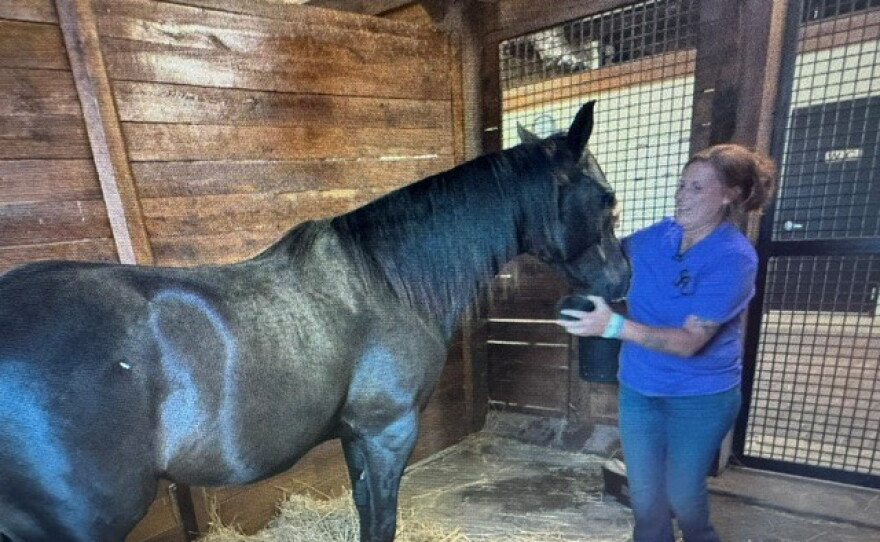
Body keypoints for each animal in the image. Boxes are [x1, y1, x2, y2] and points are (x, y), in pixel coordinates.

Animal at [0, 101, 629, 542]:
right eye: (607, 197)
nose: (621, 281)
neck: (385, 281)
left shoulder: (355, 435)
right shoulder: (387, 433)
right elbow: (382, 521)